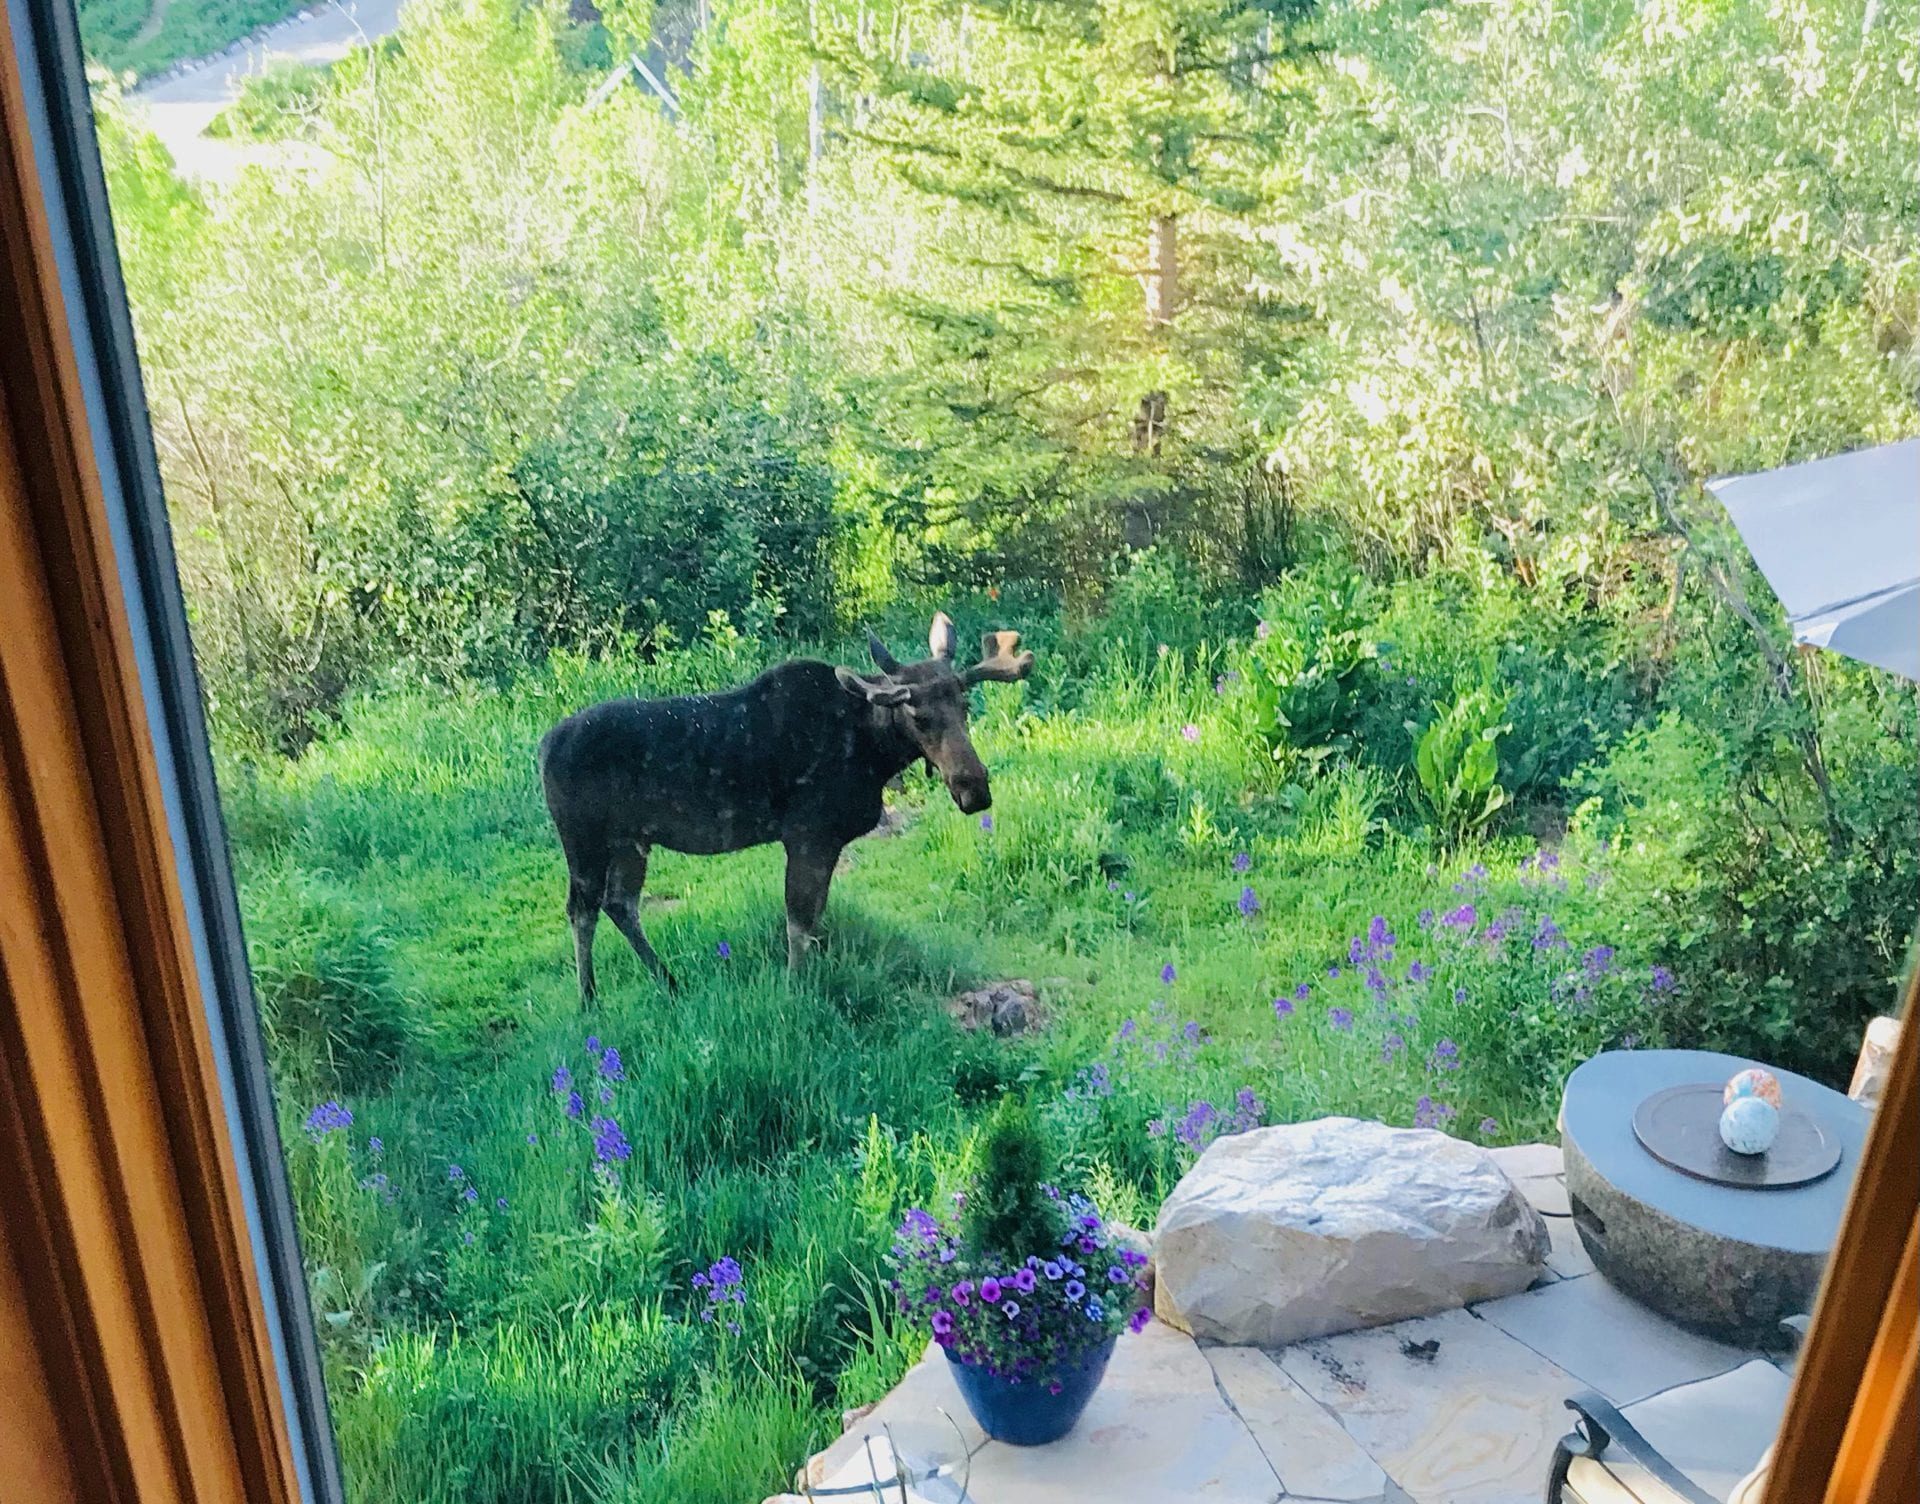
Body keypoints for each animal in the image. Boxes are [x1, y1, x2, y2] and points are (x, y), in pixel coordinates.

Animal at [537, 610, 1036, 998]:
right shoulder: (807, 834)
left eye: (965, 705)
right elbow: (798, 923)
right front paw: (795, 987)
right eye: (918, 714)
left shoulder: (827, 841)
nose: (974, 789)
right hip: (583, 838)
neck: (873, 752)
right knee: (582, 909)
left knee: (620, 903)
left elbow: (815, 920)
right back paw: (589, 999)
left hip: (631, 840)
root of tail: (541, 748)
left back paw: (669, 981)